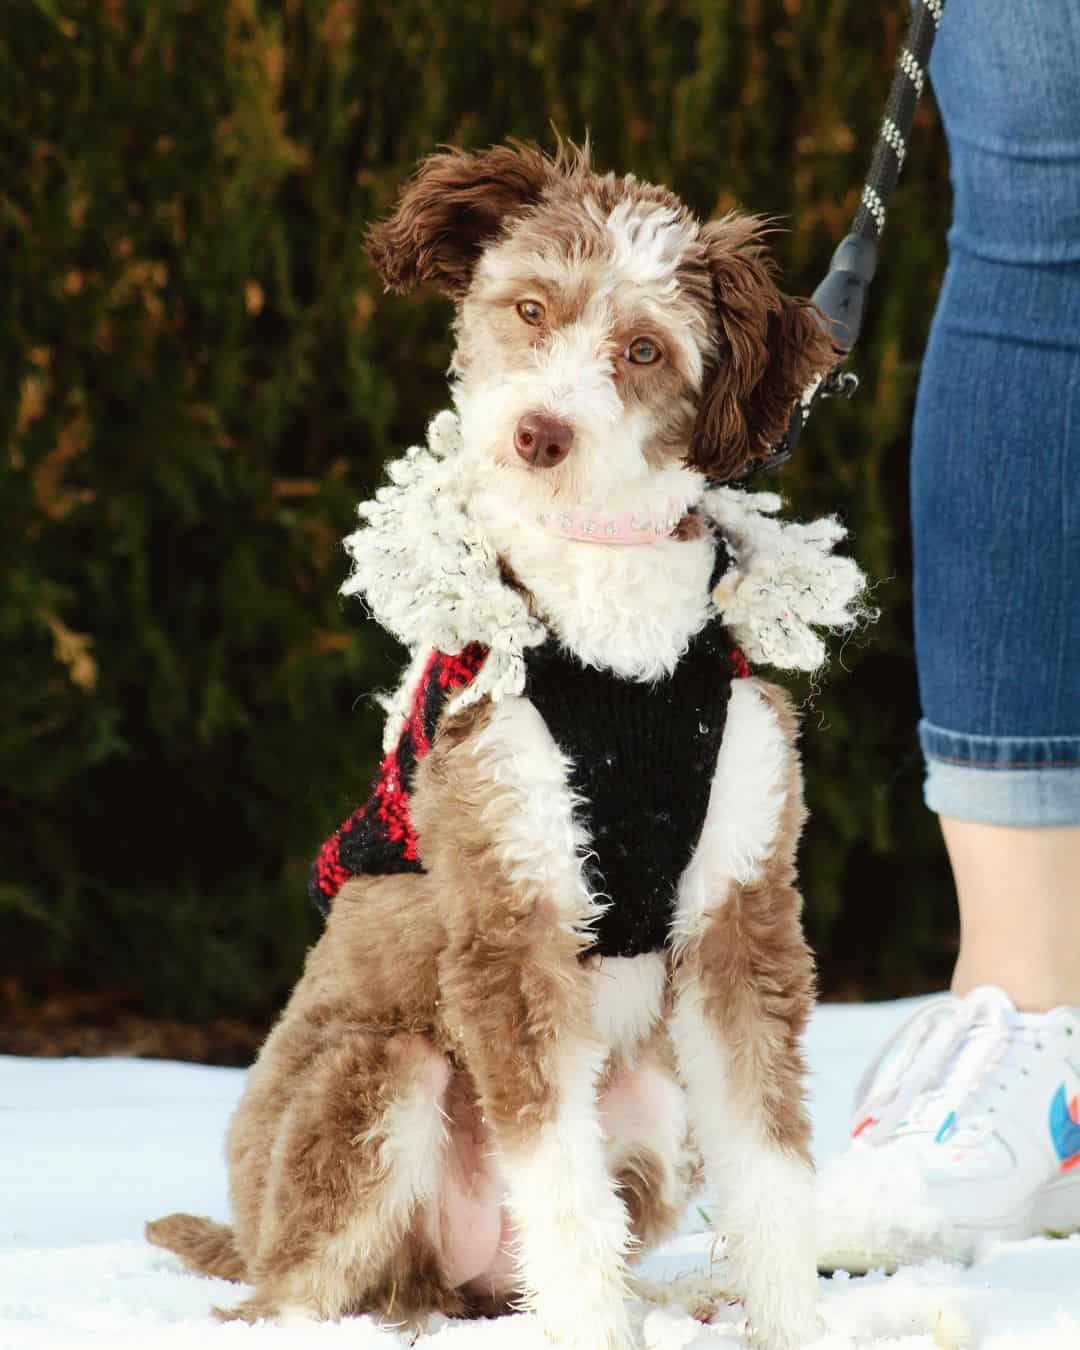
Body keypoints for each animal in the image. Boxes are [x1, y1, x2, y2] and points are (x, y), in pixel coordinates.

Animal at [149, 142, 842, 1344]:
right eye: (528, 307)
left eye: (643, 350)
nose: (539, 434)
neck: (620, 648)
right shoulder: (510, 916)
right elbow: (560, 1183)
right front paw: (600, 1332)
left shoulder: (741, 914)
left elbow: (768, 1160)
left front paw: (791, 1320)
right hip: (376, 1078)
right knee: (298, 1293)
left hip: (650, 1103)